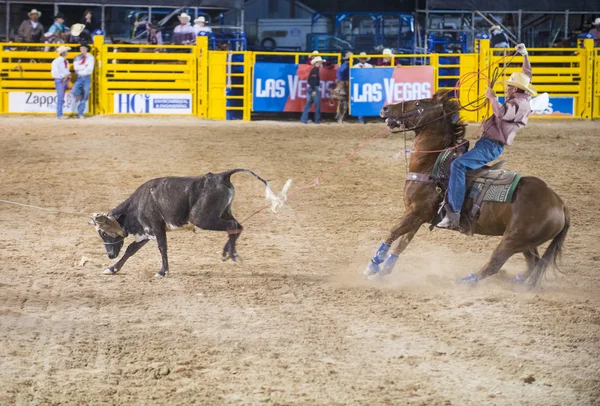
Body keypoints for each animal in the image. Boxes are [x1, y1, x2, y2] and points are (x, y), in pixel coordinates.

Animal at [368, 90, 568, 288]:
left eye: (418, 104)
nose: (385, 108)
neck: (430, 166)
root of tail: (559, 204)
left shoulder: (417, 211)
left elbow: (393, 232)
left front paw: (373, 266)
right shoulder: (418, 216)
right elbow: (402, 243)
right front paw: (385, 270)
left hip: (512, 240)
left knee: (494, 264)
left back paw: (464, 282)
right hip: (526, 242)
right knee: (533, 263)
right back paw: (518, 283)